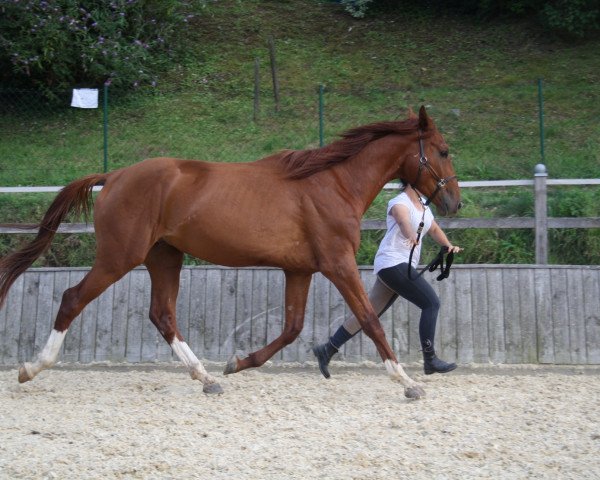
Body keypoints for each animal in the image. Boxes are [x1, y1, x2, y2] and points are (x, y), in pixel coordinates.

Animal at [0, 107, 460, 400]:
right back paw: (30, 369)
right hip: (119, 257)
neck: (333, 184)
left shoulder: (300, 271)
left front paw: (237, 363)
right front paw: (408, 382)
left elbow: (292, 328)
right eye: (442, 151)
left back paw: (206, 377)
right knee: (72, 298)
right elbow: (368, 319)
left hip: (164, 257)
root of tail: (114, 176)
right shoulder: (337, 264)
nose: (453, 202)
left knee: (162, 315)